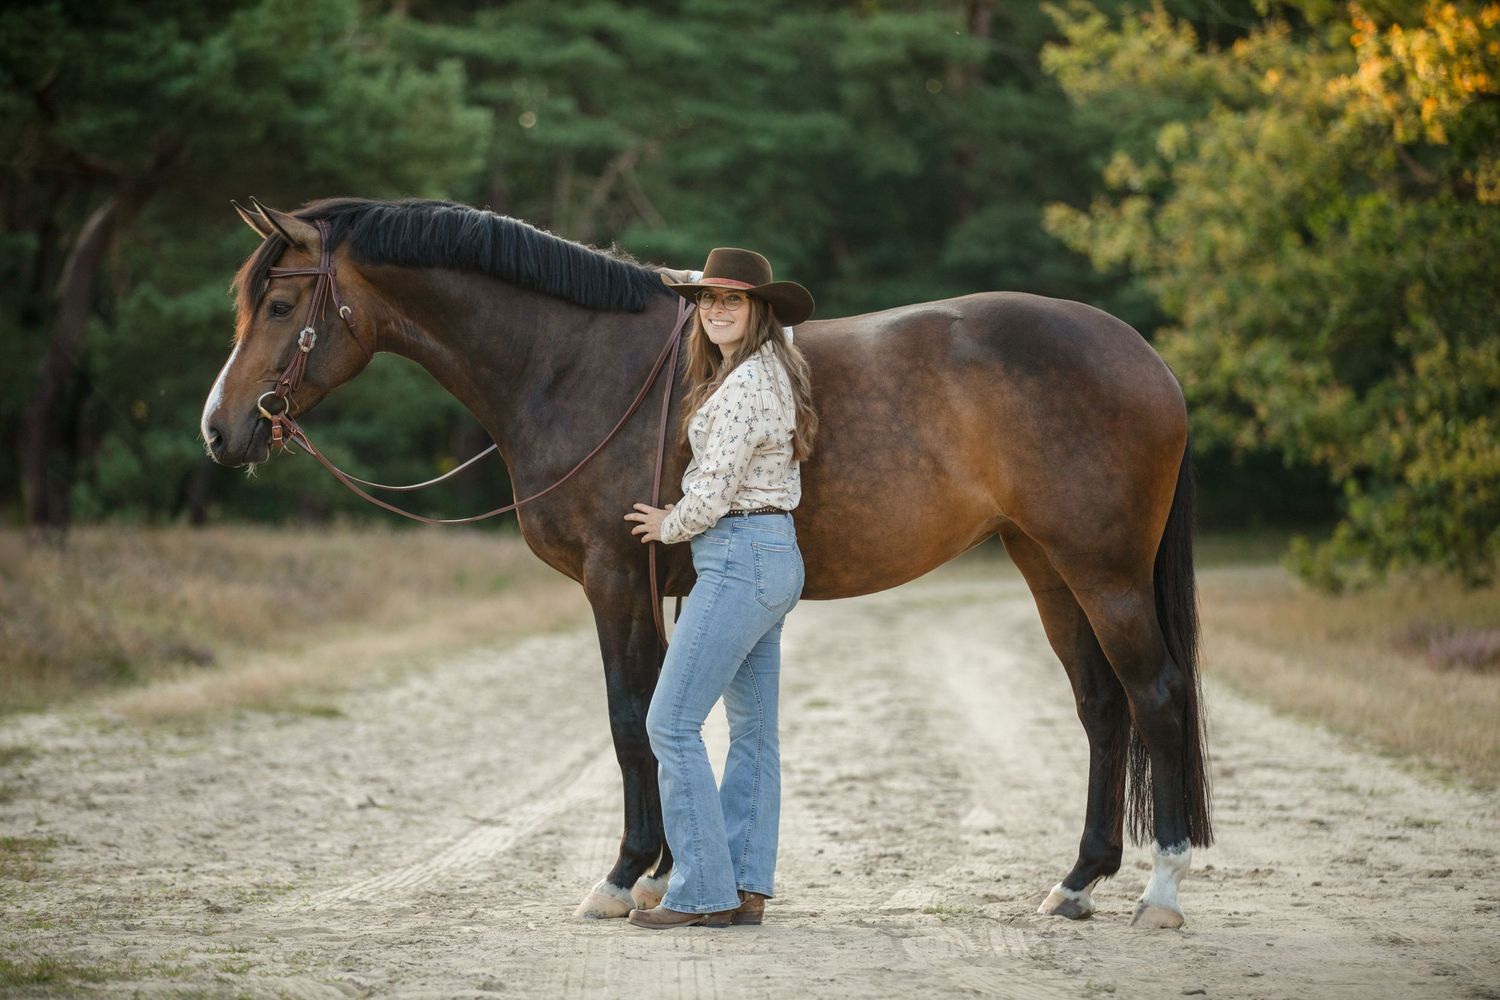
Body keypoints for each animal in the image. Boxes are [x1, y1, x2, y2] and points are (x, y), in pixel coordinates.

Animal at [200, 196, 1212, 929]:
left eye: (282, 306)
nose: (220, 430)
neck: (574, 365)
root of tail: (1147, 358)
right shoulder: (654, 587)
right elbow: (656, 717)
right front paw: (665, 874)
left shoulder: (615, 578)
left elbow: (629, 721)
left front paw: (623, 878)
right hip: (1047, 566)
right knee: (1102, 707)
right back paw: (1077, 882)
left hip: (1105, 572)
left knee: (1156, 697)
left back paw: (1158, 892)